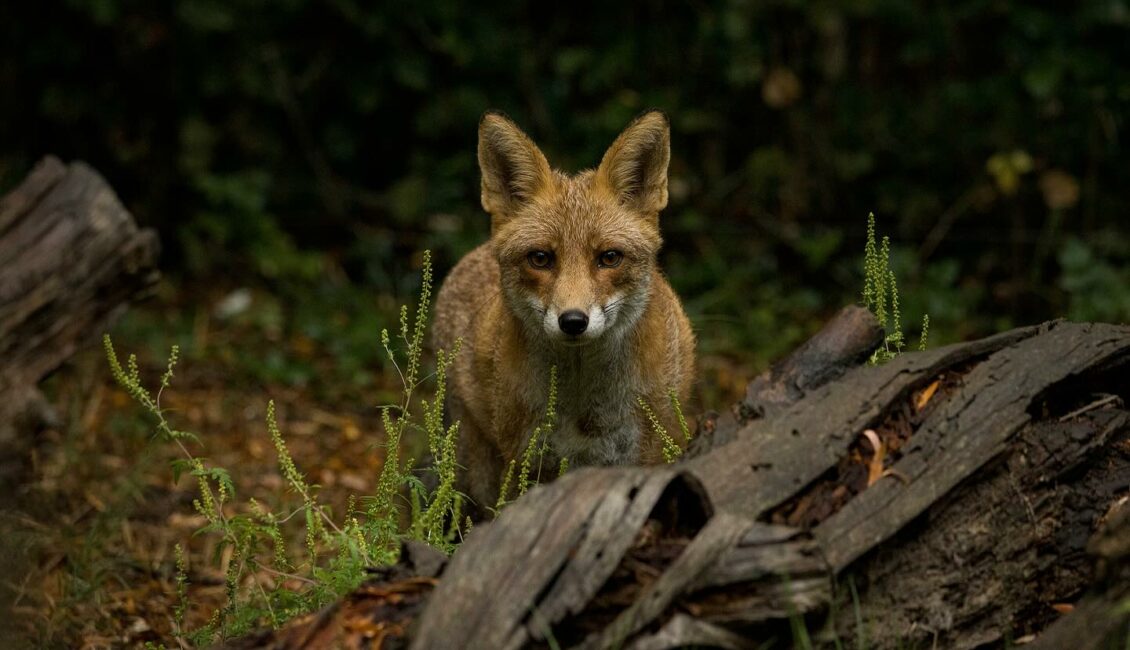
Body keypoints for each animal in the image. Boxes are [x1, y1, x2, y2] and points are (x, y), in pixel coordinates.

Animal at [433, 109, 691, 510]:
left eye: (609, 258)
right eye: (540, 258)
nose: (573, 321)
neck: (583, 410)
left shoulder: (645, 456)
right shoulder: (526, 463)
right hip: (479, 465)